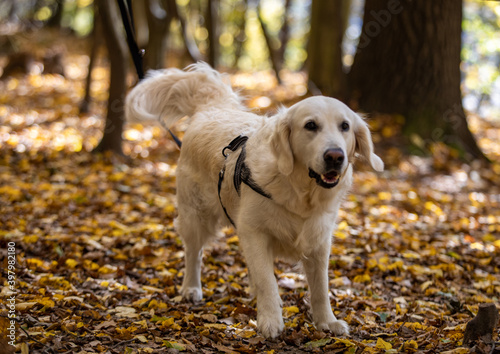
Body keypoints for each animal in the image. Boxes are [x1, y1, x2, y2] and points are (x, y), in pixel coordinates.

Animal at [125, 63, 382, 338]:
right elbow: (268, 281)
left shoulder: (319, 240)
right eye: (311, 125)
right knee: (194, 253)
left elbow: (320, 287)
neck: (300, 192)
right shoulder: (255, 232)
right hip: (195, 215)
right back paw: (191, 288)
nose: (335, 156)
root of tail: (211, 108)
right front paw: (270, 320)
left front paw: (327, 322)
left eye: (345, 126)